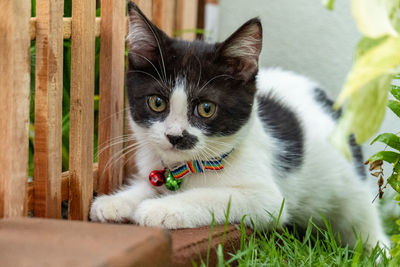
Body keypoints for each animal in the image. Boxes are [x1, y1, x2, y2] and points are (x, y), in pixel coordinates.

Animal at [90, 2, 388, 252]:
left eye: (206, 108)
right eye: (157, 102)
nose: (175, 136)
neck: (193, 165)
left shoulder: (267, 199)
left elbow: (214, 197)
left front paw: (159, 209)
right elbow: (148, 184)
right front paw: (117, 202)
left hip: (352, 189)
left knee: (364, 222)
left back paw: (378, 250)